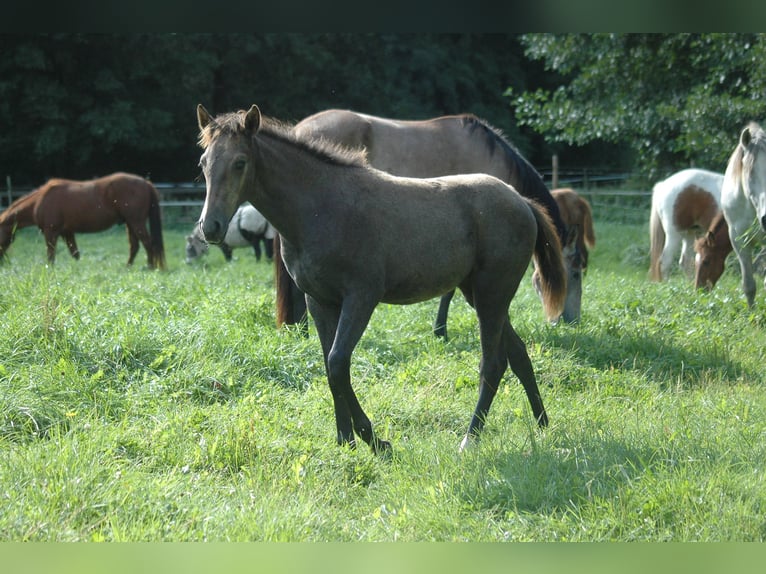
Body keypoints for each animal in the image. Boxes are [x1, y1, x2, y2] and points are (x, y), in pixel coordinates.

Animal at [0, 171, 167, 270]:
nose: (1, 262)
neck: (40, 201)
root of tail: (146, 183)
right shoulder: (67, 232)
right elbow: (75, 254)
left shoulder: (51, 232)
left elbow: (51, 254)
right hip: (130, 223)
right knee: (135, 246)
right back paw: (128, 267)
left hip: (136, 222)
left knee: (148, 244)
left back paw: (150, 267)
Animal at [196, 102, 568, 454]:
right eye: (203, 162)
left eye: (240, 162)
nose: (210, 227)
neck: (321, 207)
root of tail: (522, 201)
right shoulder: (320, 302)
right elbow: (329, 365)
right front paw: (345, 439)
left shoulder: (361, 297)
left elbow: (338, 363)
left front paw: (374, 441)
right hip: (479, 293)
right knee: (517, 353)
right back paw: (543, 424)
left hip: (493, 293)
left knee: (492, 362)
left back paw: (470, 437)